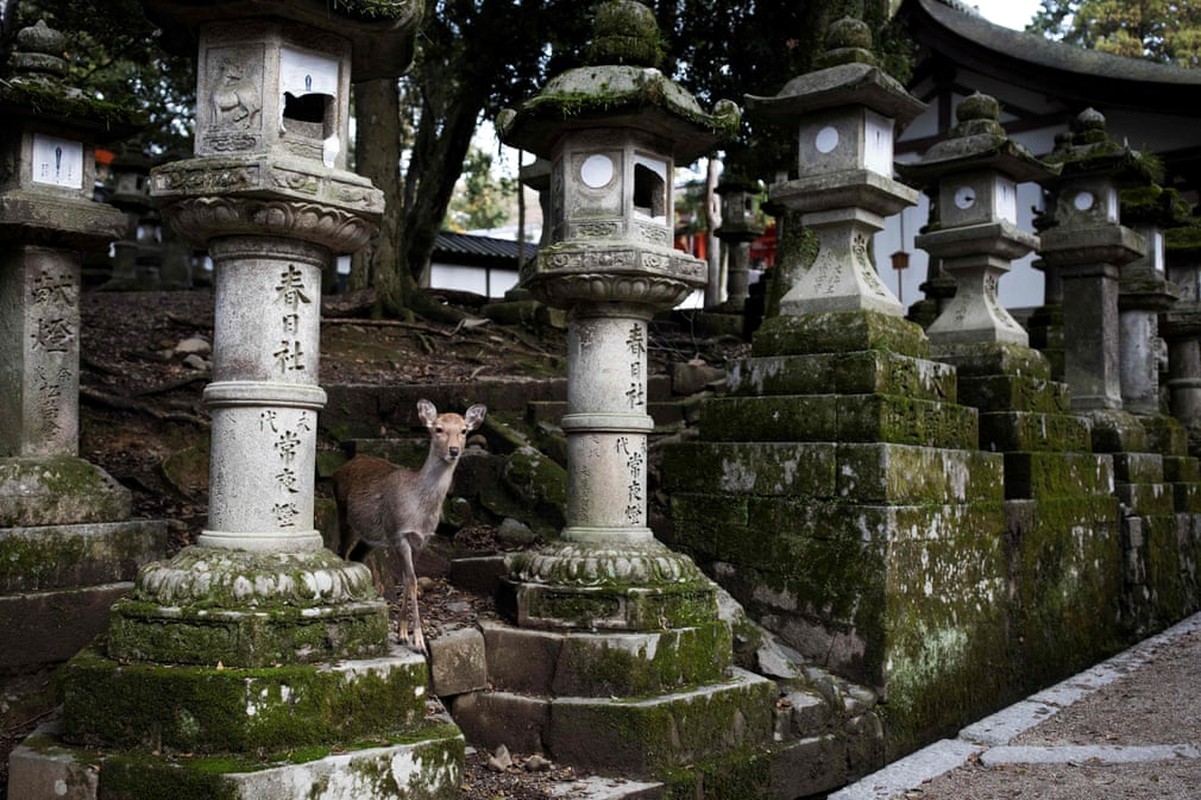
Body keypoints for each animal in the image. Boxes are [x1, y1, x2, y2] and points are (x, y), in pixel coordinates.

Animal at [331, 396, 485, 653]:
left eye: (464, 430)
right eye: (438, 429)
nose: (454, 450)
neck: (419, 511)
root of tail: (340, 468)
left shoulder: (422, 539)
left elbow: (407, 578)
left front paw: (402, 634)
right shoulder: (399, 534)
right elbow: (412, 581)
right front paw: (419, 641)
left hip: (372, 537)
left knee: (358, 556)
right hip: (344, 515)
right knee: (341, 551)